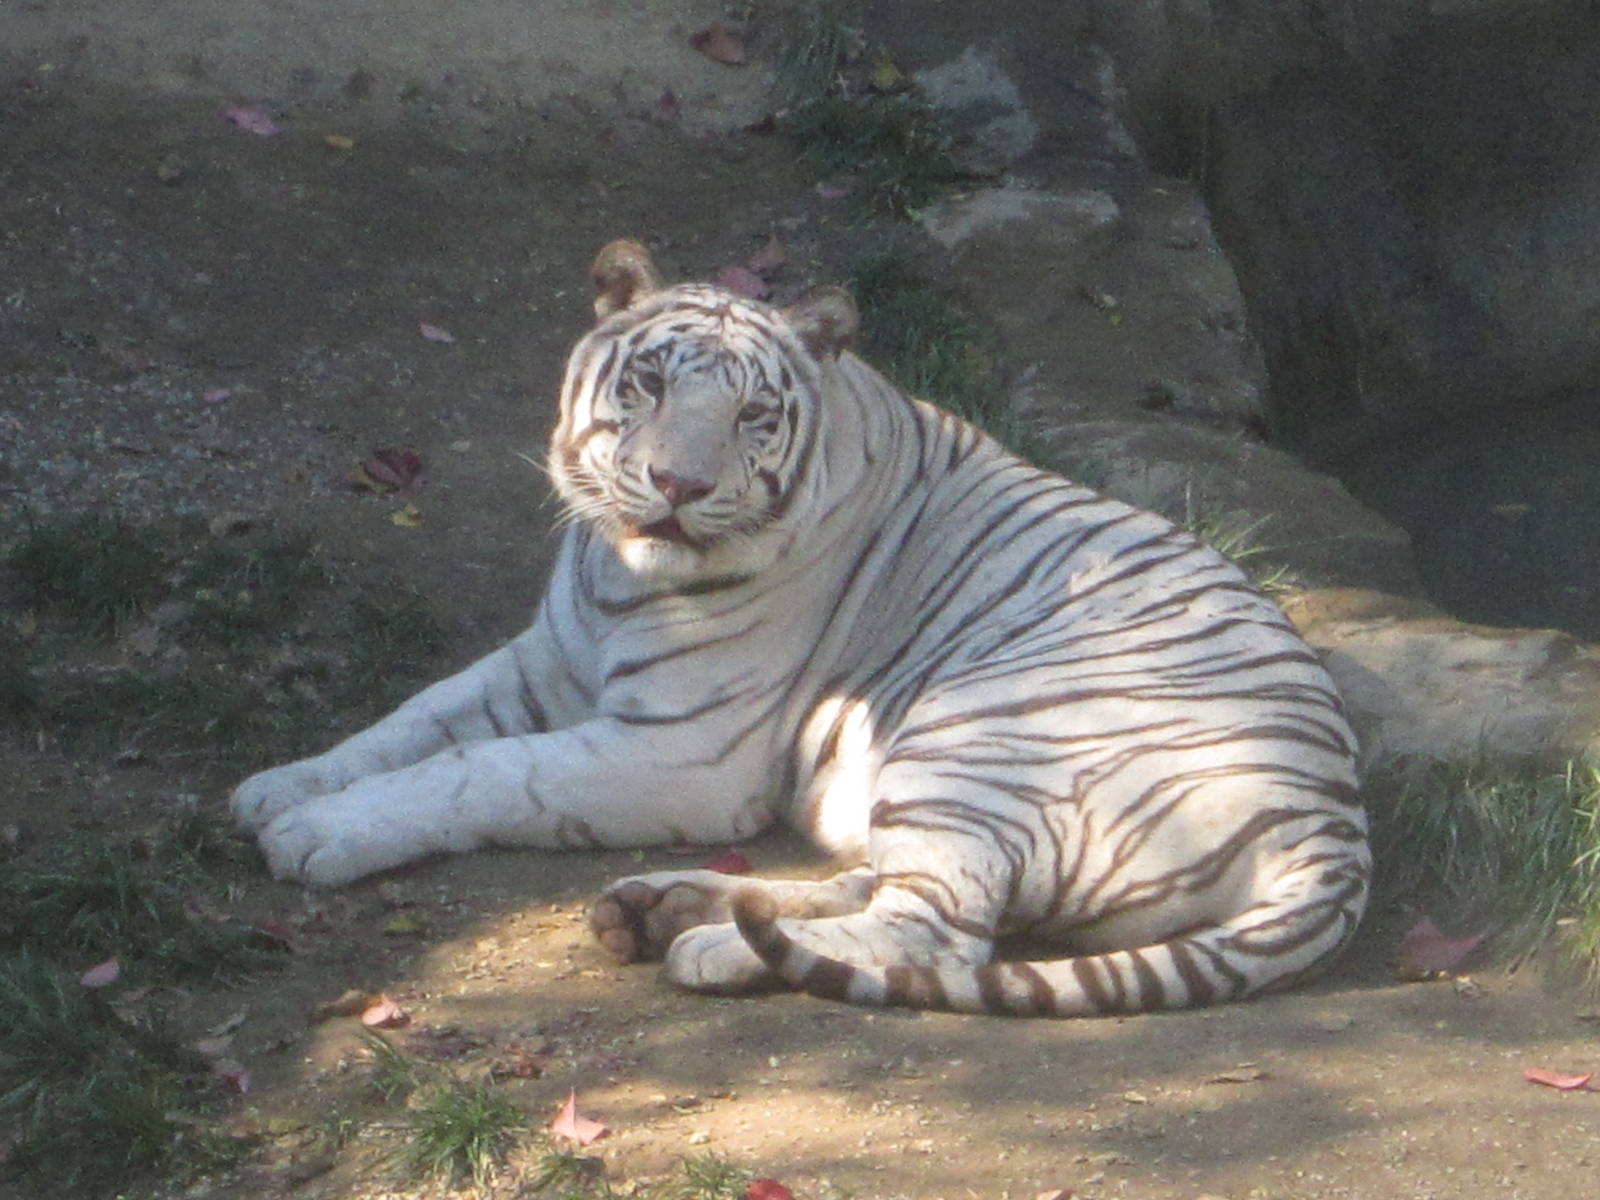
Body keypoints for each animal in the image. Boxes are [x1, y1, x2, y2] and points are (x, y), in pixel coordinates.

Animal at [231, 238, 1370, 1017]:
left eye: (751, 416)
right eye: (647, 384)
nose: (678, 486)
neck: (616, 575)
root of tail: (1338, 830)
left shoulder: (675, 751)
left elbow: (477, 773)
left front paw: (317, 834)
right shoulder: (542, 664)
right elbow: (410, 722)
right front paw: (276, 787)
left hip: (981, 729)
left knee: (935, 937)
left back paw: (709, 947)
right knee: (896, 889)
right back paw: (662, 908)